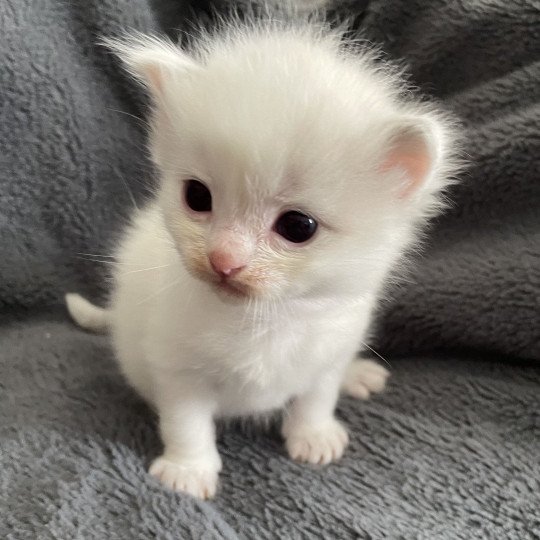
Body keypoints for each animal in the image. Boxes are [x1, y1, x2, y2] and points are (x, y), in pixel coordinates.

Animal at [65, 7, 458, 498]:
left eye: (297, 227)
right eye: (197, 196)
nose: (223, 260)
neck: (264, 318)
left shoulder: (328, 348)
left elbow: (316, 395)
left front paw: (314, 434)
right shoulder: (176, 369)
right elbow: (186, 423)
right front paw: (188, 470)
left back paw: (357, 374)